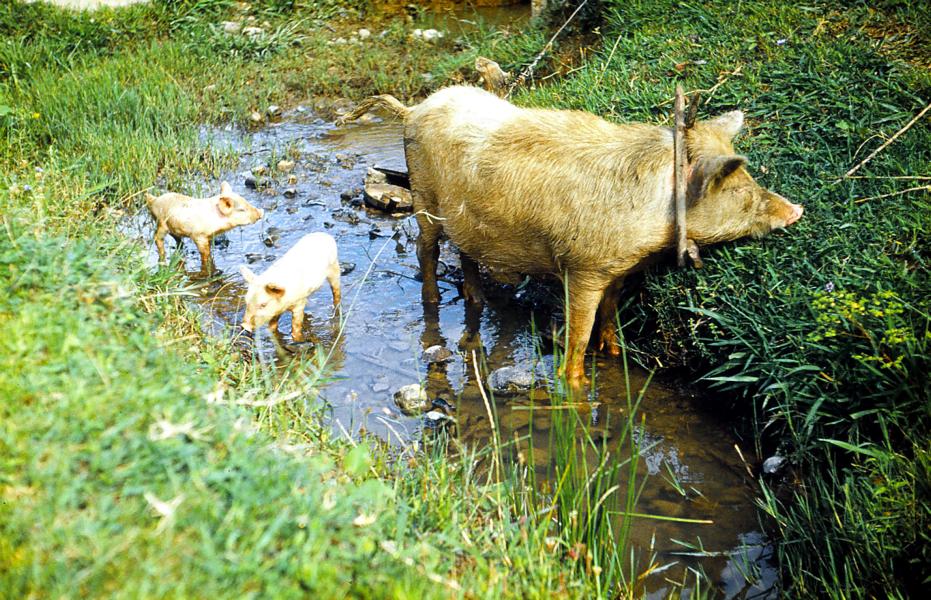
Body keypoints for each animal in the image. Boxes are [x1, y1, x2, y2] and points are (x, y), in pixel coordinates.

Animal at [338, 86, 804, 382]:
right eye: (737, 187)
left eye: (746, 178)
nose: (797, 210)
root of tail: (415, 109)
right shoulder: (583, 267)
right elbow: (579, 331)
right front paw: (575, 382)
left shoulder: (617, 267)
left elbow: (611, 313)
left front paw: (614, 355)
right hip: (423, 196)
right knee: (427, 251)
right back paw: (434, 301)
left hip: (463, 217)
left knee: (467, 253)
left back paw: (475, 297)